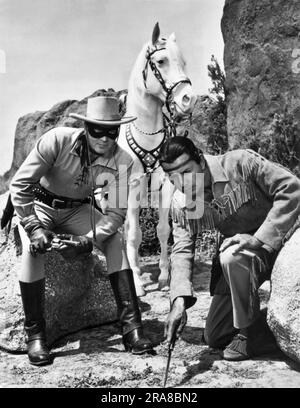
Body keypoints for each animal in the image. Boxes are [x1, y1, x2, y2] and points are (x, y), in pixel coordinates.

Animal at [117, 23, 197, 296]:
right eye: (161, 61)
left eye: (184, 62)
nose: (189, 99)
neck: (147, 136)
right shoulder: (132, 188)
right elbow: (134, 234)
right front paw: (137, 283)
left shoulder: (166, 186)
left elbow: (163, 230)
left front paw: (164, 276)